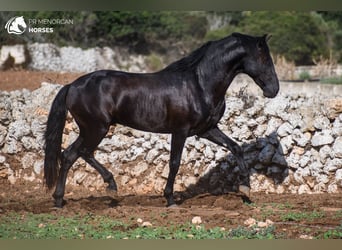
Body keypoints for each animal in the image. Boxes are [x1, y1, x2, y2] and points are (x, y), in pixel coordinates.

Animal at [43, 32, 278, 207]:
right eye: (264, 58)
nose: (274, 90)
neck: (199, 84)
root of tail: (72, 86)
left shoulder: (207, 129)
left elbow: (236, 148)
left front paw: (246, 190)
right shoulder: (180, 131)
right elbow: (174, 163)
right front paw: (170, 199)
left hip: (89, 129)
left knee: (69, 155)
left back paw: (59, 200)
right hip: (96, 128)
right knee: (82, 153)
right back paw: (111, 188)